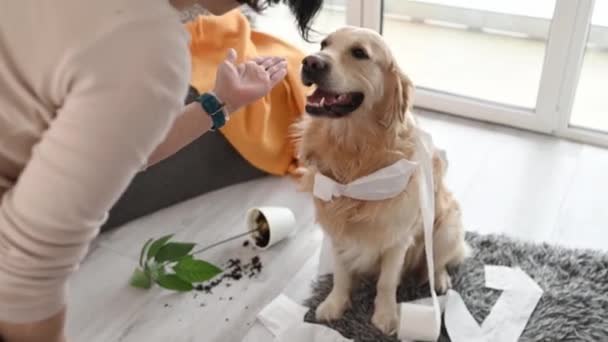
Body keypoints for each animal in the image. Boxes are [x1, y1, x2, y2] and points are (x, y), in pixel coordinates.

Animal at [292, 27, 468, 336]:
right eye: (324, 44)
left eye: (359, 53)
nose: (311, 62)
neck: (354, 155)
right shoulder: (336, 231)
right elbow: (340, 275)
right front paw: (335, 304)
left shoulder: (397, 239)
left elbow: (386, 282)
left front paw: (386, 316)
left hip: (446, 228)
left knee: (439, 262)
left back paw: (439, 279)